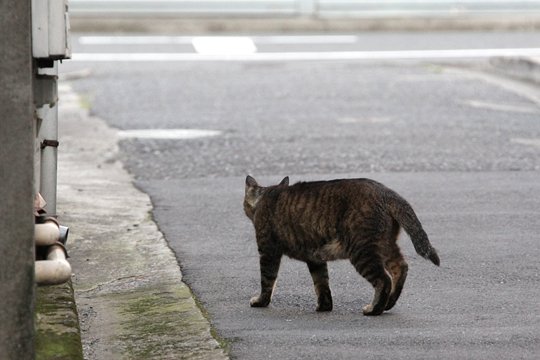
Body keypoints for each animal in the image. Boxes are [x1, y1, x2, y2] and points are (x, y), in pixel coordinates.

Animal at [245, 176, 438, 316]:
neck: (266, 195)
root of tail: (387, 192)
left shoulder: (268, 251)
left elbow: (267, 279)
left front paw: (260, 302)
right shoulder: (315, 258)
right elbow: (321, 283)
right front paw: (324, 306)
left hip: (362, 251)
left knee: (383, 280)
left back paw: (374, 309)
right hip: (385, 244)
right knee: (400, 267)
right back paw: (389, 303)